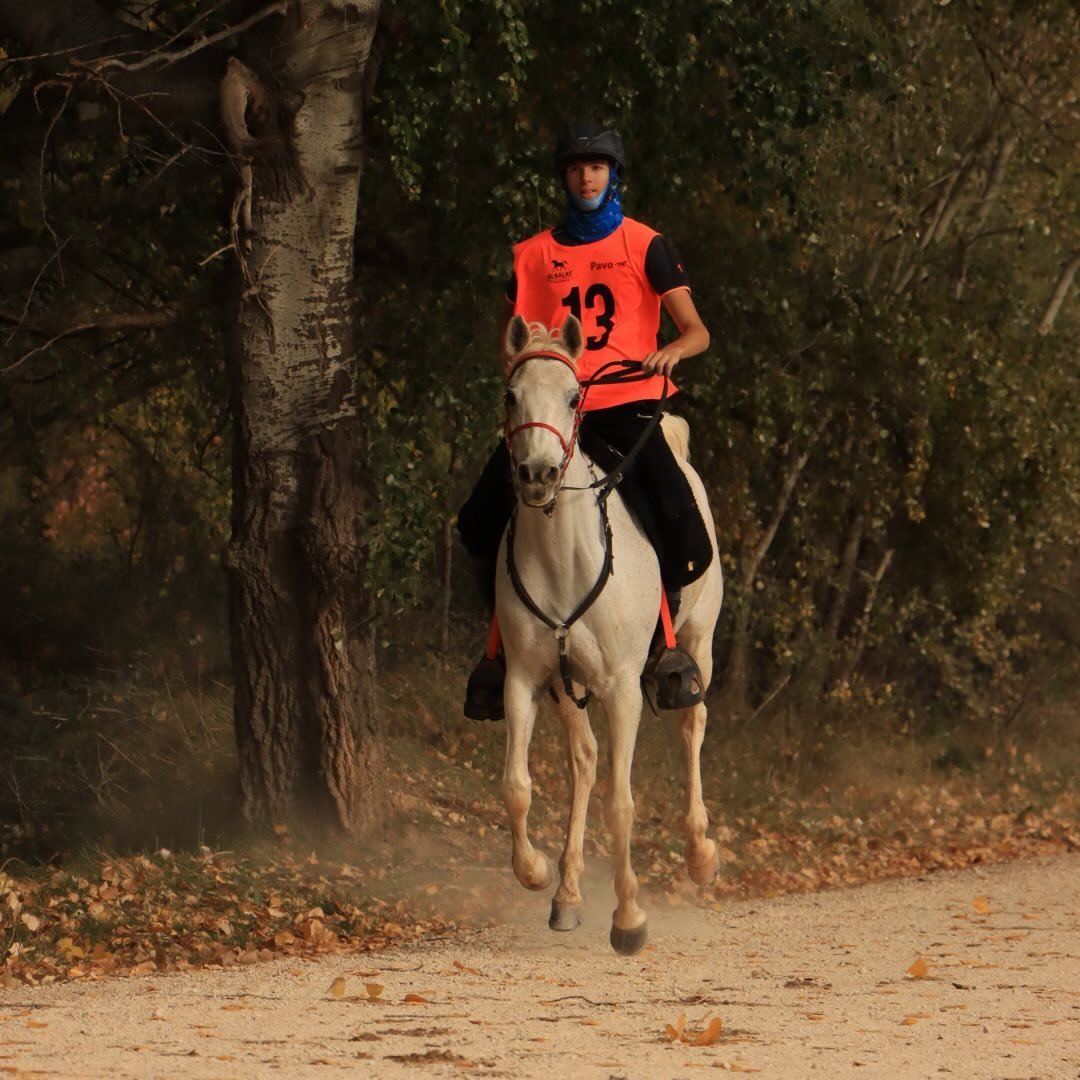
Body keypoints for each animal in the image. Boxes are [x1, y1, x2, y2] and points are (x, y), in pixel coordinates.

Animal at [496, 313, 725, 954]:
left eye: (575, 397)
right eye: (510, 395)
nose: (539, 475)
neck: (562, 555)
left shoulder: (623, 687)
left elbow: (620, 804)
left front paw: (629, 918)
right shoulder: (525, 678)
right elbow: (517, 786)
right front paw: (536, 872)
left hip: (698, 639)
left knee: (691, 725)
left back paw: (700, 855)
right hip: (565, 686)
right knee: (585, 760)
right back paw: (568, 895)